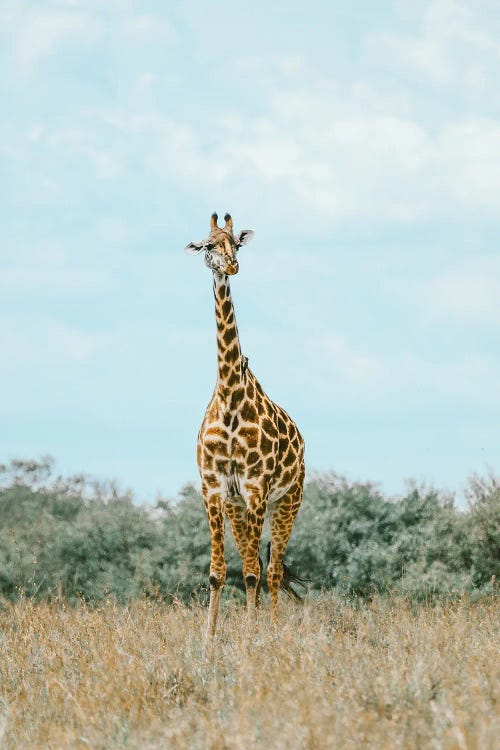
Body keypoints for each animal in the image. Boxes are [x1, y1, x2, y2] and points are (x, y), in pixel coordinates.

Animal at [185, 213, 304, 640]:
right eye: (207, 245)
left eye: (236, 243)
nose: (232, 266)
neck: (230, 395)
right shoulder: (214, 488)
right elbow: (217, 572)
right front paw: (209, 639)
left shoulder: (256, 488)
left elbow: (252, 571)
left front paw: (253, 638)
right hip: (238, 506)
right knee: (260, 566)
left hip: (288, 499)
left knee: (272, 570)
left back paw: (272, 629)